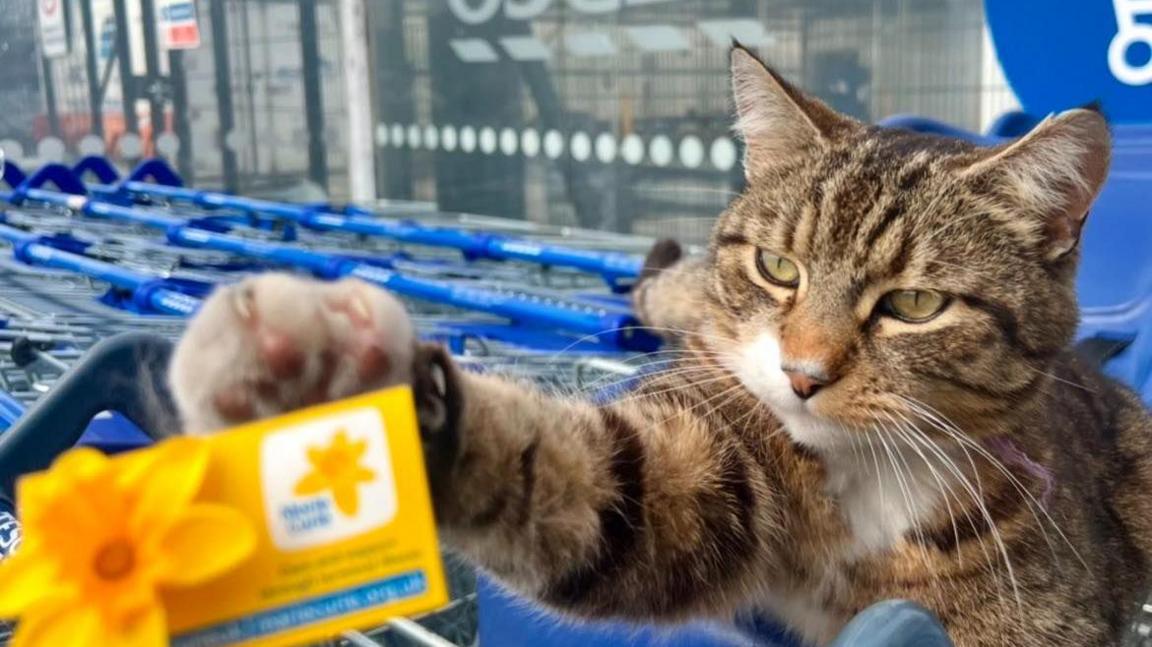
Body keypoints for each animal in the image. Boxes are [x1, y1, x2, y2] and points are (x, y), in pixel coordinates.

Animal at [168, 46, 1152, 644]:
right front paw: (328, 371)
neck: (862, 485)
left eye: (913, 304)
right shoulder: (712, 457)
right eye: (778, 266)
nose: (801, 375)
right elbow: (594, 484)